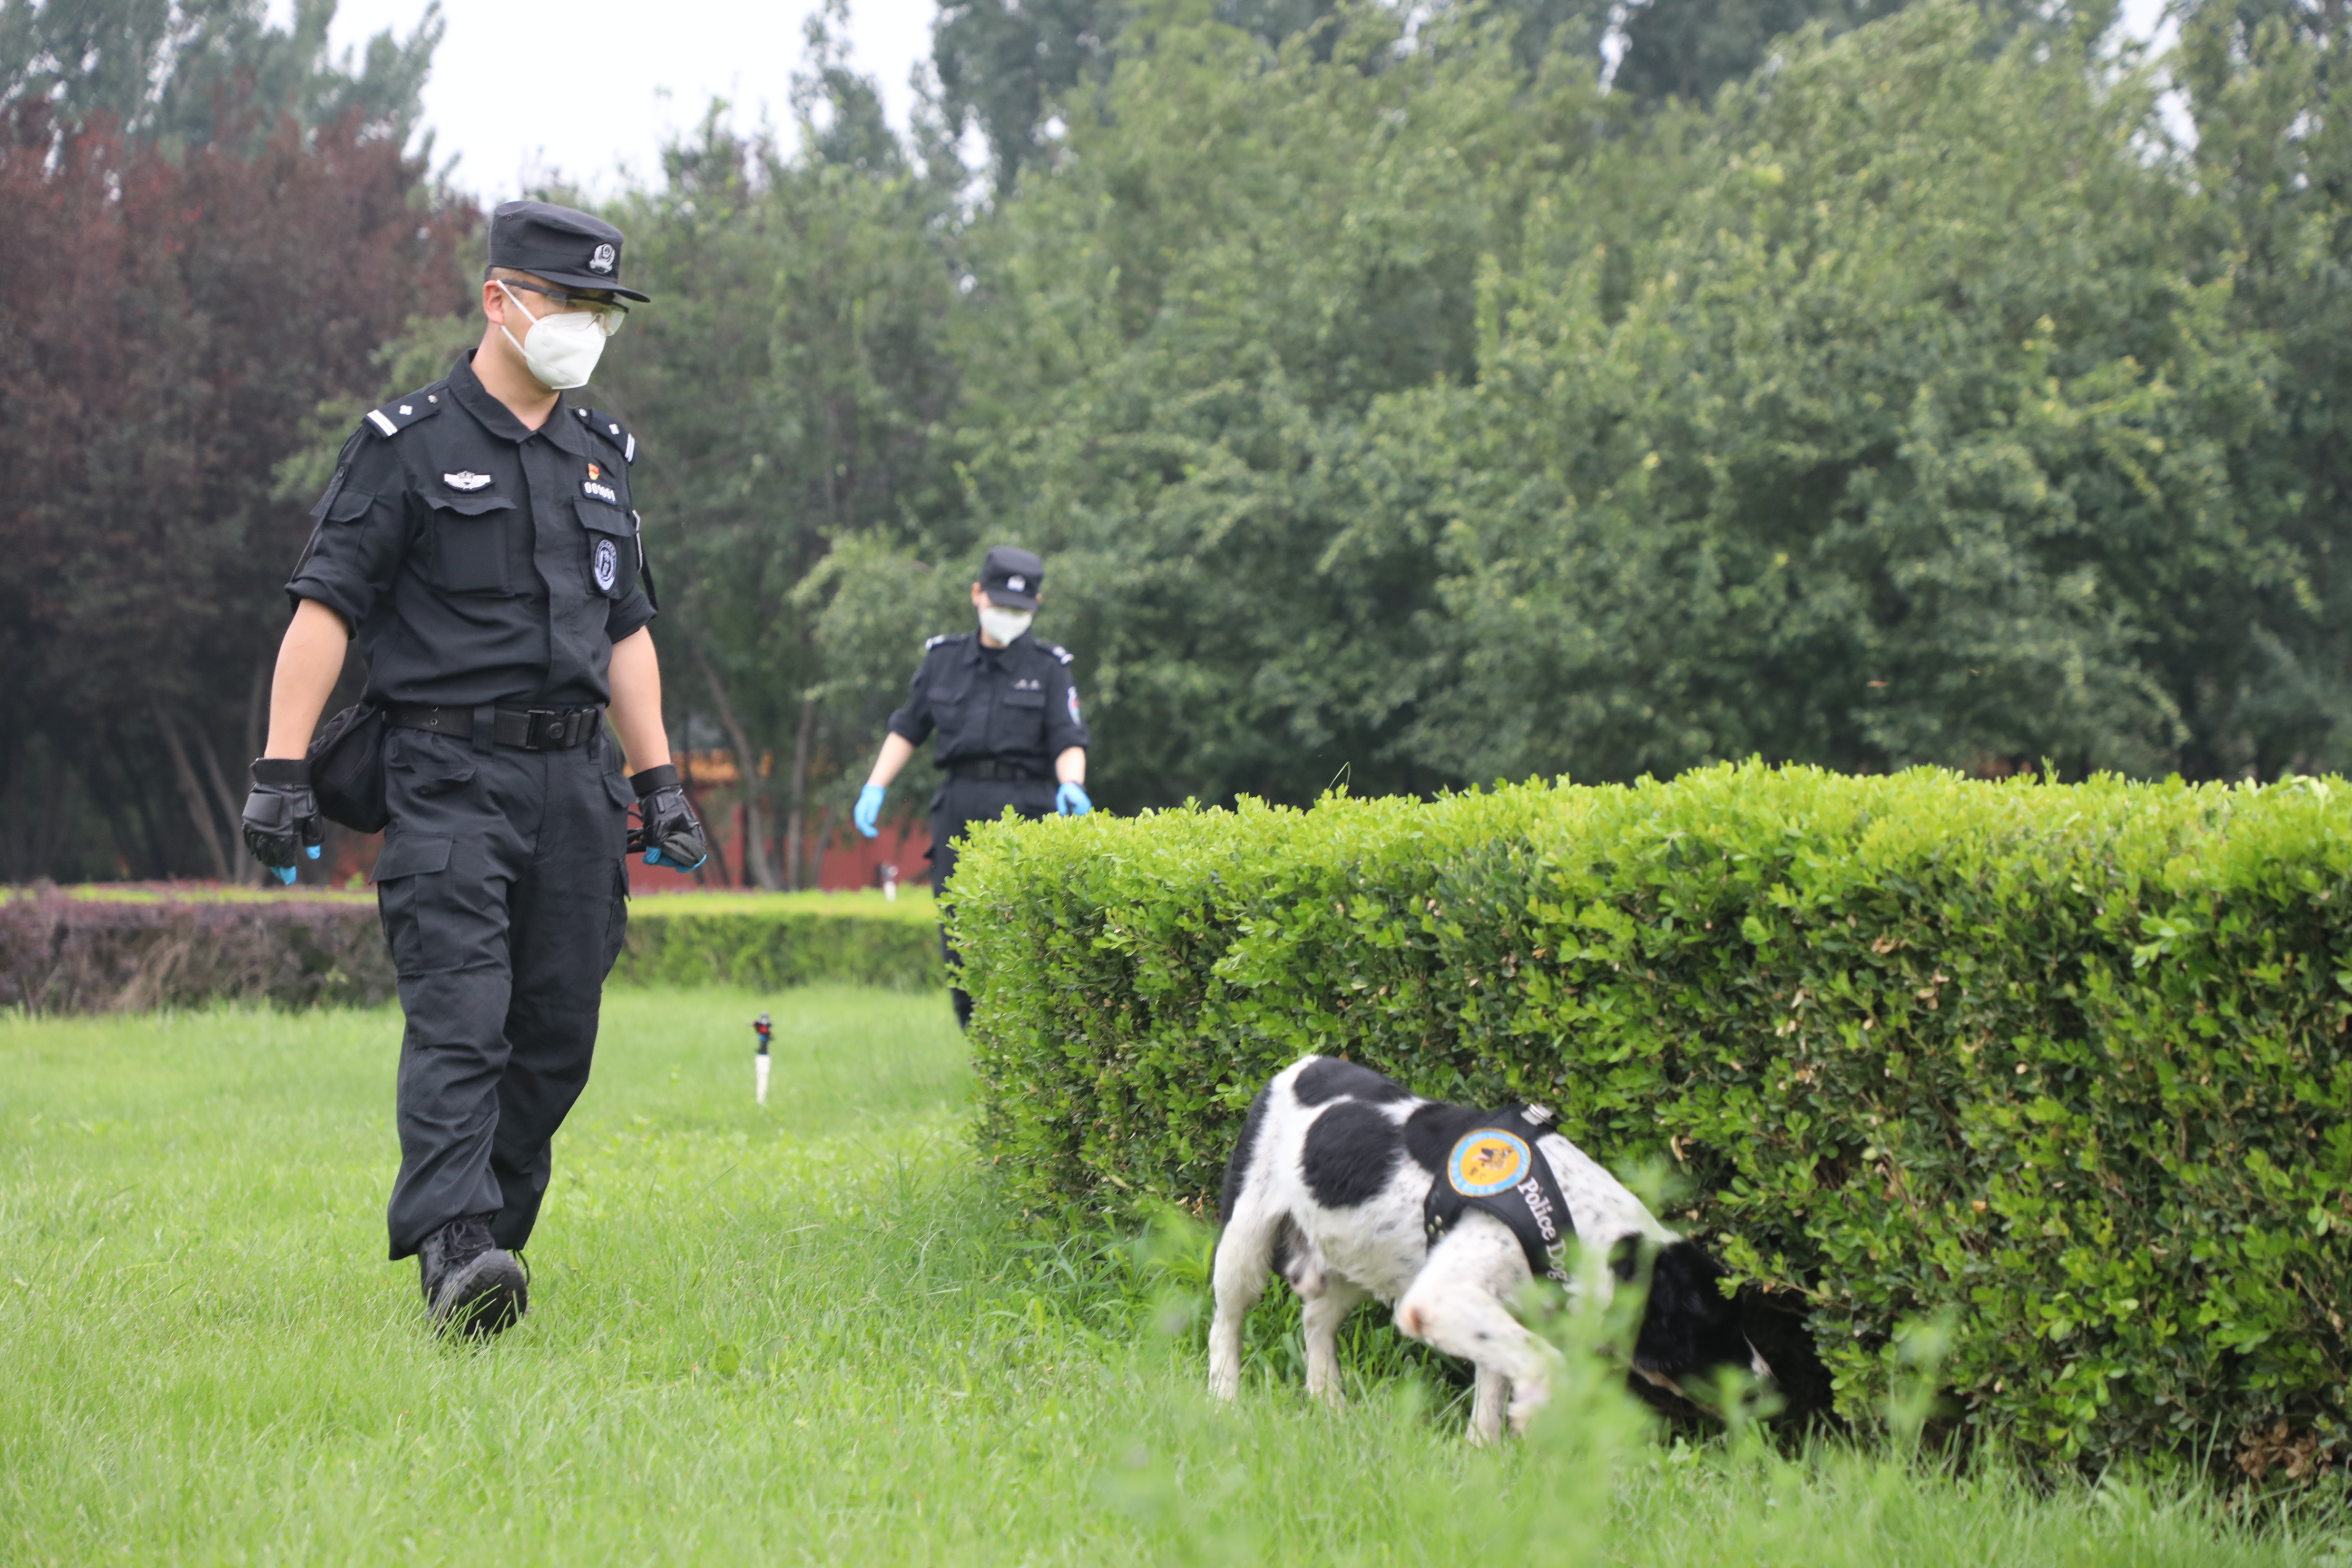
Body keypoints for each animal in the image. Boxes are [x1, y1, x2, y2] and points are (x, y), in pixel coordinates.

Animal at [1213, 1053, 1768, 1448]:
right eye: (1721, 1328)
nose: (1768, 1382)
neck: (1569, 1217)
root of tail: (1296, 1066)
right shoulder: (1440, 1297)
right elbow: (1542, 1361)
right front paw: (1533, 1411)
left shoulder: (1498, 1306)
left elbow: (1494, 1385)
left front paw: (1484, 1459)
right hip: (1245, 1240)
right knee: (1228, 1322)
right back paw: (1225, 1399)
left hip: (1359, 1254)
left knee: (1317, 1319)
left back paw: (1330, 1407)